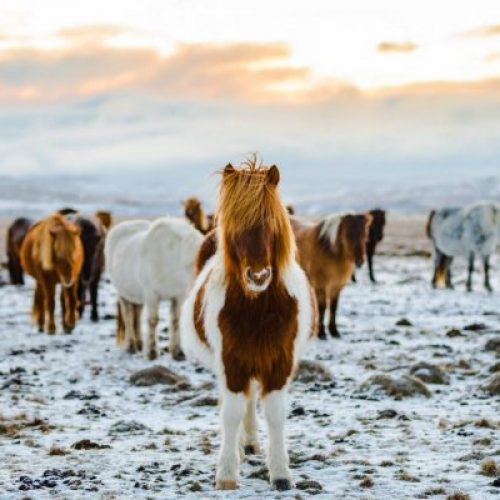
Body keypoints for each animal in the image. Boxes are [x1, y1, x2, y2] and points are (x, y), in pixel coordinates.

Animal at [106, 217, 203, 362]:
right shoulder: (151, 294)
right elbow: (153, 321)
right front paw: (152, 353)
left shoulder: (178, 295)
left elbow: (176, 320)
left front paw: (178, 352)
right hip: (123, 294)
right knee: (128, 315)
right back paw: (131, 346)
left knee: (137, 314)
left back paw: (140, 343)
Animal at [181, 161, 316, 492]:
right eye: (235, 226)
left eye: (271, 222)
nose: (258, 276)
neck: (257, 308)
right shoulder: (231, 363)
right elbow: (230, 414)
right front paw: (227, 473)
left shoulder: (279, 363)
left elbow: (276, 415)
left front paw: (281, 474)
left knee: (251, 399)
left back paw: (252, 443)